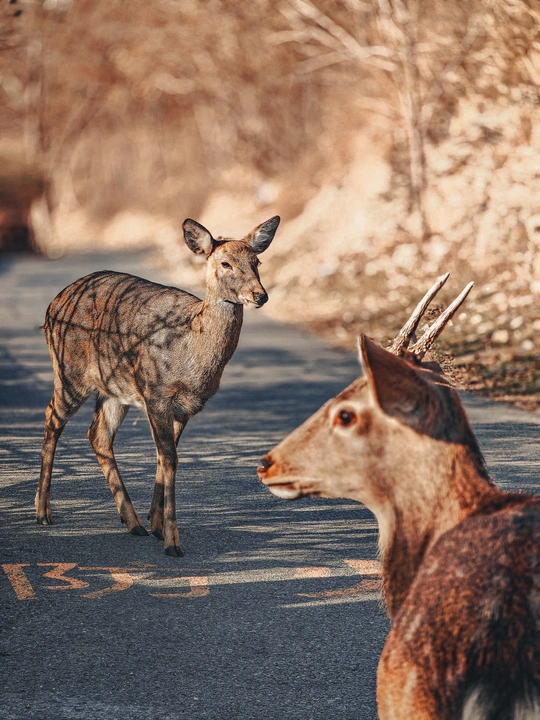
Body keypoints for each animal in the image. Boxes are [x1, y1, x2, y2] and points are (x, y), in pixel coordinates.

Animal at [36, 215, 280, 556]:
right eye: (225, 263)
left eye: (257, 261)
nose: (260, 295)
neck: (192, 353)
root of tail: (54, 303)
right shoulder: (156, 393)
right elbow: (170, 458)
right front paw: (172, 542)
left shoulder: (186, 406)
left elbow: (166, 457)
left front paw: (156, 525)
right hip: (69, 370)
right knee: (52, 417)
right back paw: (43, 513)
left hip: (114, 389)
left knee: (97, 434)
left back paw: (133, 522)